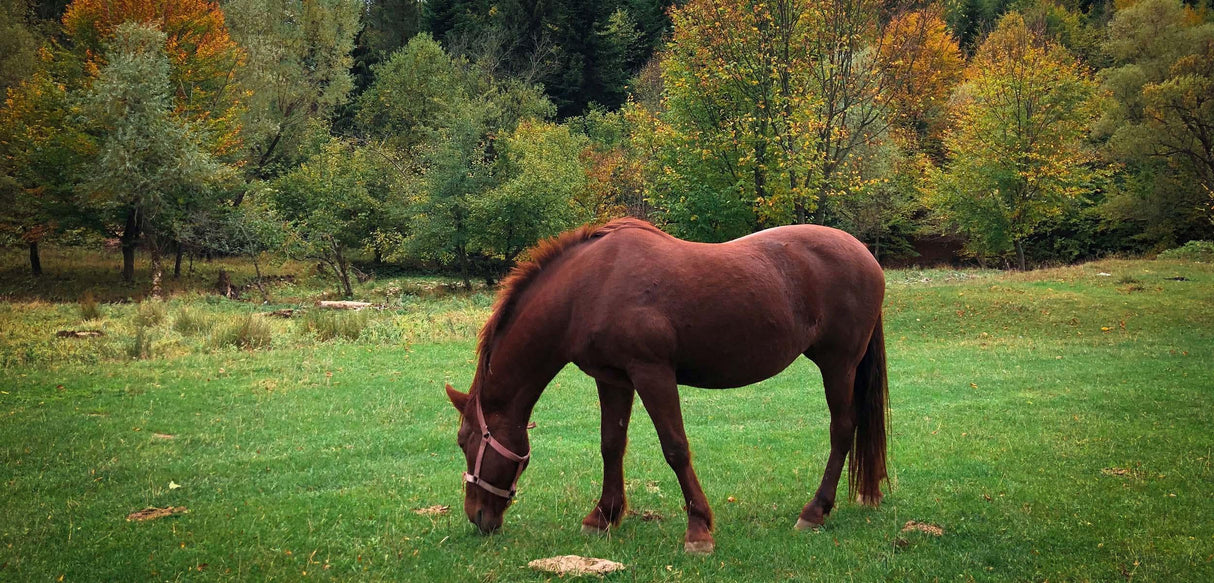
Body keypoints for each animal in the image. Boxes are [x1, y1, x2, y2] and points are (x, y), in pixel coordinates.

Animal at [444, 218, 889, 554]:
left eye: (466, 442)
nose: (478, 517)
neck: (590, 286)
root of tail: (865, 255)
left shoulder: (652, 373)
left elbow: (675, 448)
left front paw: (698, 529)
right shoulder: (612, 379)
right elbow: (611, 446)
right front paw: (603, 516)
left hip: (838, 365)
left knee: (841, 430)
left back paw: (815, 511)